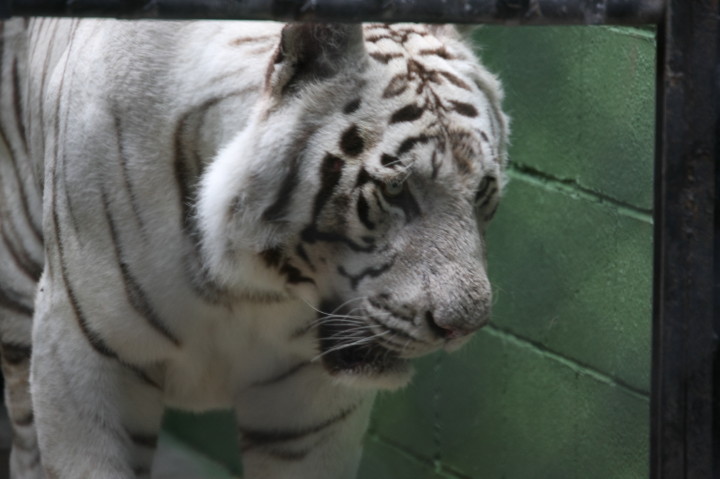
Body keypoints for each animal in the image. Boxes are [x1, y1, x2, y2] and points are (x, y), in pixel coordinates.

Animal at [0, 17, 508, 479]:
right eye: (396, 189)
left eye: (483, 189)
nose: (462, 328)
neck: (246, 285)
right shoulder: (83, 359)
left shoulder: (309, 404)